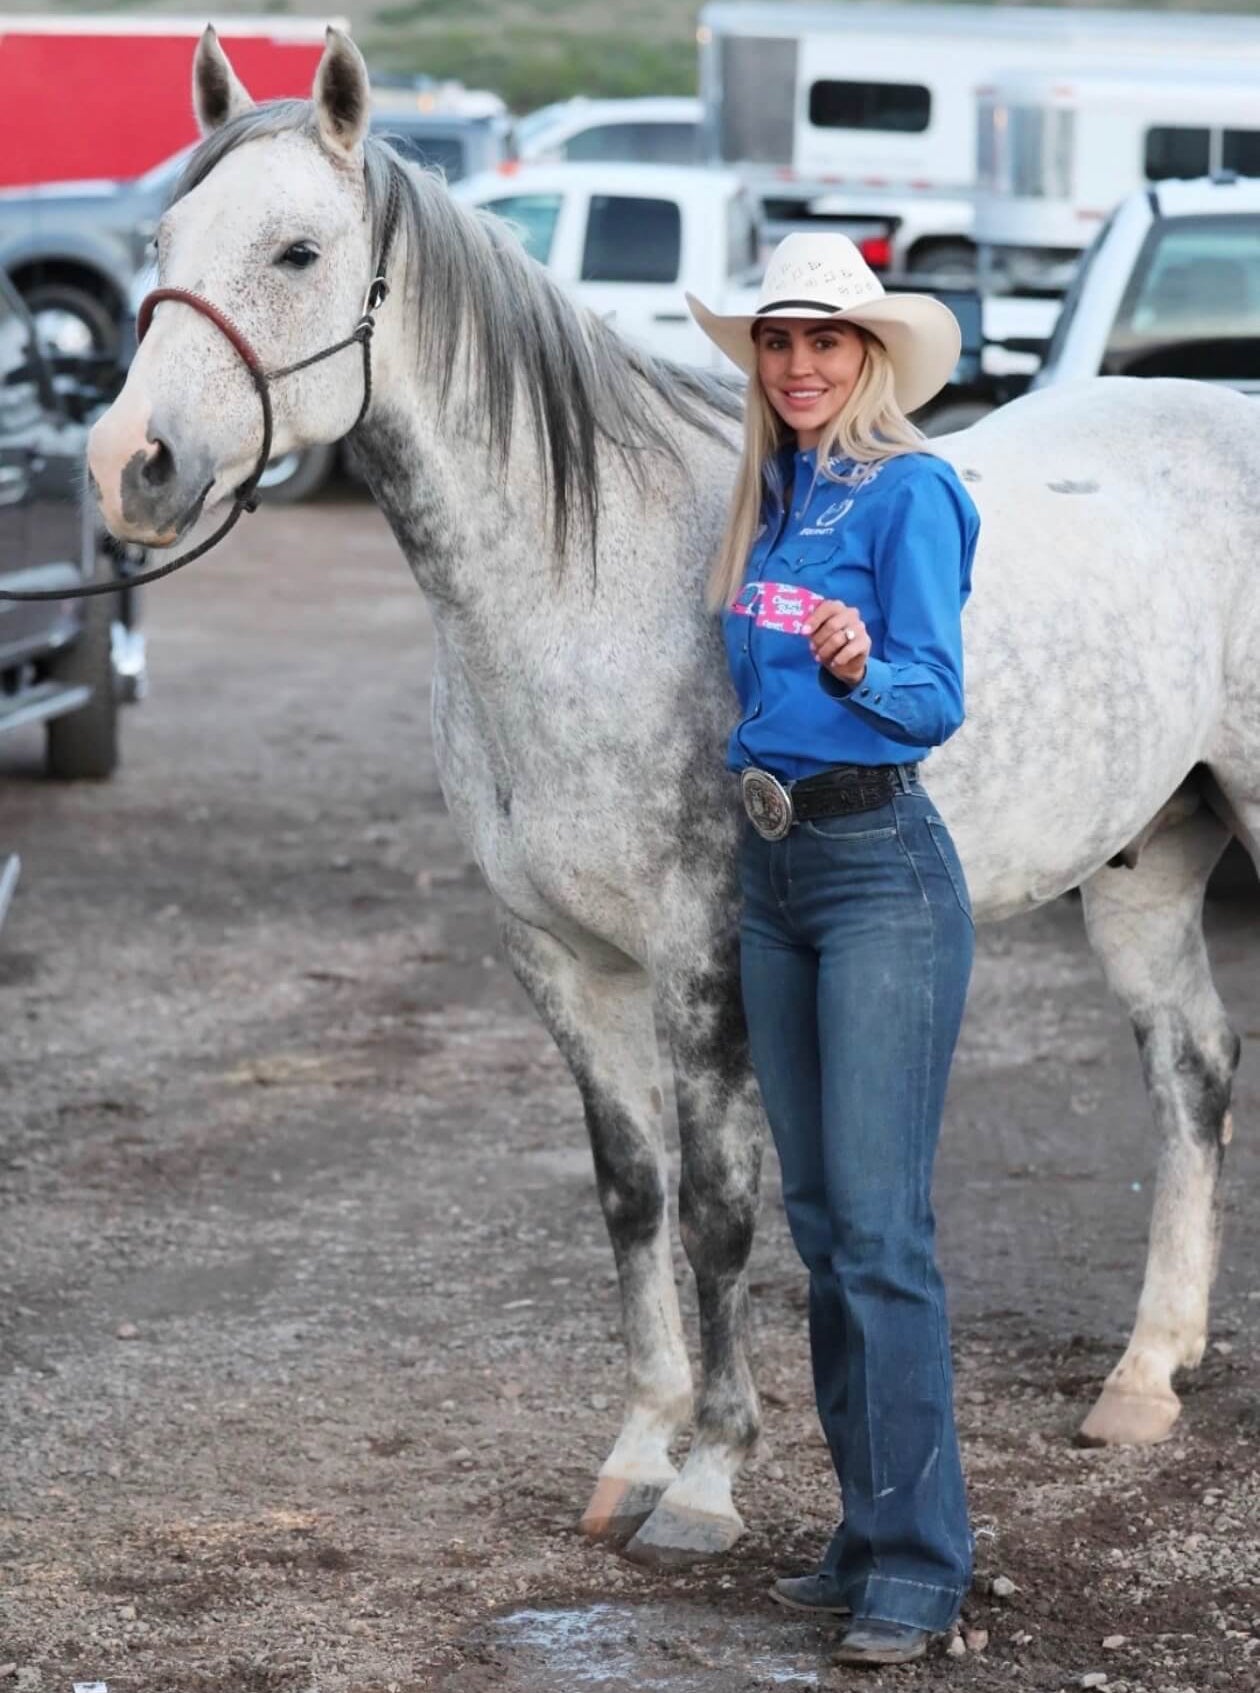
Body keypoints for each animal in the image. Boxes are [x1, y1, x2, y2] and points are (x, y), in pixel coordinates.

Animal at [85, 26, 1259, 1565]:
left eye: (295, 250)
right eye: (160, 241)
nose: (130, 467)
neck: (580, 587)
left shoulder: (707, 955)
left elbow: (716, 1207)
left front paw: (708, 1475)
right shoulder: (557, 959)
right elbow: (631, 1192)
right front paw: (637, 1448)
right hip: (1145, 863)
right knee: (1191, 1071)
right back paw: (1143, 1376)